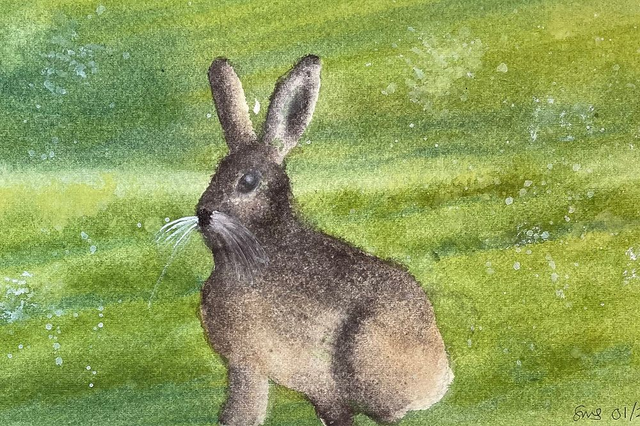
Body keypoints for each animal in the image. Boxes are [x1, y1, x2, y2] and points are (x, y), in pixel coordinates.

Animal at [196, 54, 453, 426]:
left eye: (247, 181)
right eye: (216, 171)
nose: (202, 212)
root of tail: (442, 372)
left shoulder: (252, 366)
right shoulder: (252, 368)